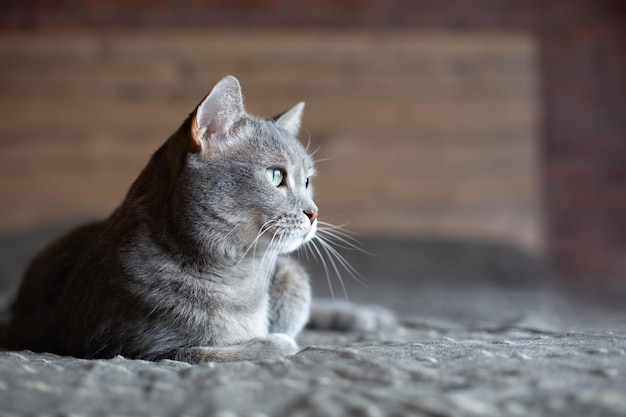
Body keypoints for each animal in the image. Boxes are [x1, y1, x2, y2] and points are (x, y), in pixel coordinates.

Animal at [1, 76, 390, 362]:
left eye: (307, 181)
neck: (237, 274)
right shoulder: (139, 348)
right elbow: (215, 351)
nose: (314, 212)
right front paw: (276, 342)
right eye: (276, 176)